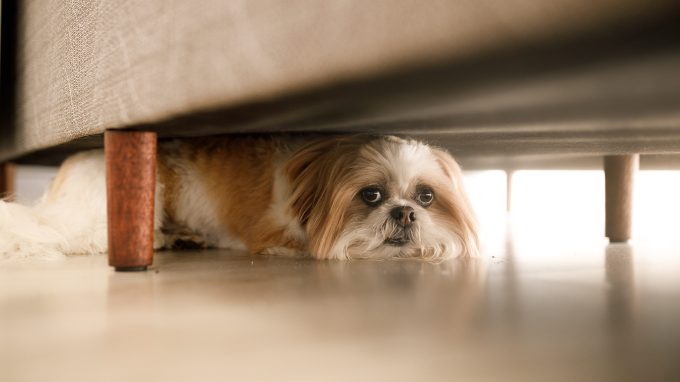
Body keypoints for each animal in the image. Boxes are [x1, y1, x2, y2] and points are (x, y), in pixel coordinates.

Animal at [0, 136, 478, 262]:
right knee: (85, 239)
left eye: (426, 196)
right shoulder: (276, 232)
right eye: (372, 194)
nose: (405, 213)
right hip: (133, 200)